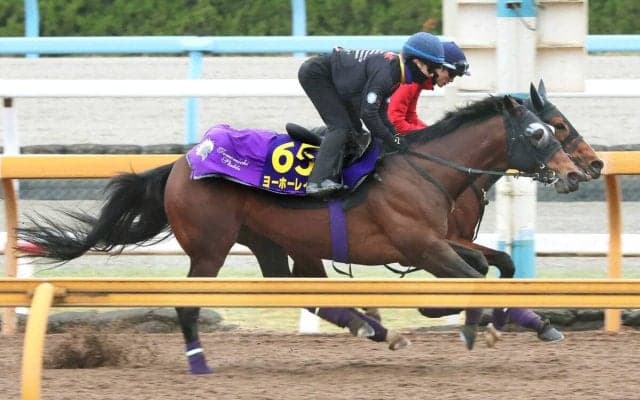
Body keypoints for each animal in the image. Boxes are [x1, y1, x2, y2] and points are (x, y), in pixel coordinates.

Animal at [18, 95, 585, 374]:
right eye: (543, 131)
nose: (581, 171)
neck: (426, 170)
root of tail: (181, 163)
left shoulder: (442, 240)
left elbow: (495, 265)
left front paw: (525, 321)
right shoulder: (422, 245)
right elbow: (474, 274)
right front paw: (469, 322)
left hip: (272, 243)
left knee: (308, 294)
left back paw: (376, 330)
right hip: (210, 248)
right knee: (187, 302)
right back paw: (199, 363)